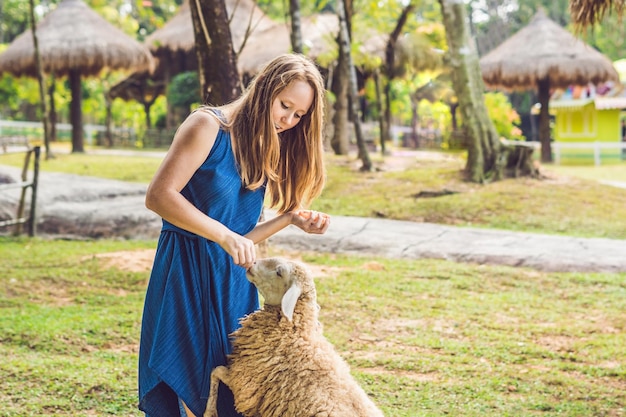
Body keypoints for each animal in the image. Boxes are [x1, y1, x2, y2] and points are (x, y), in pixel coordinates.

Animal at [202, 256, 382, 416]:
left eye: (279, 272)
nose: (251, 263)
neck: (295, 332)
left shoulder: (245, 384)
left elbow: (215, 371)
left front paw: (209, 412)